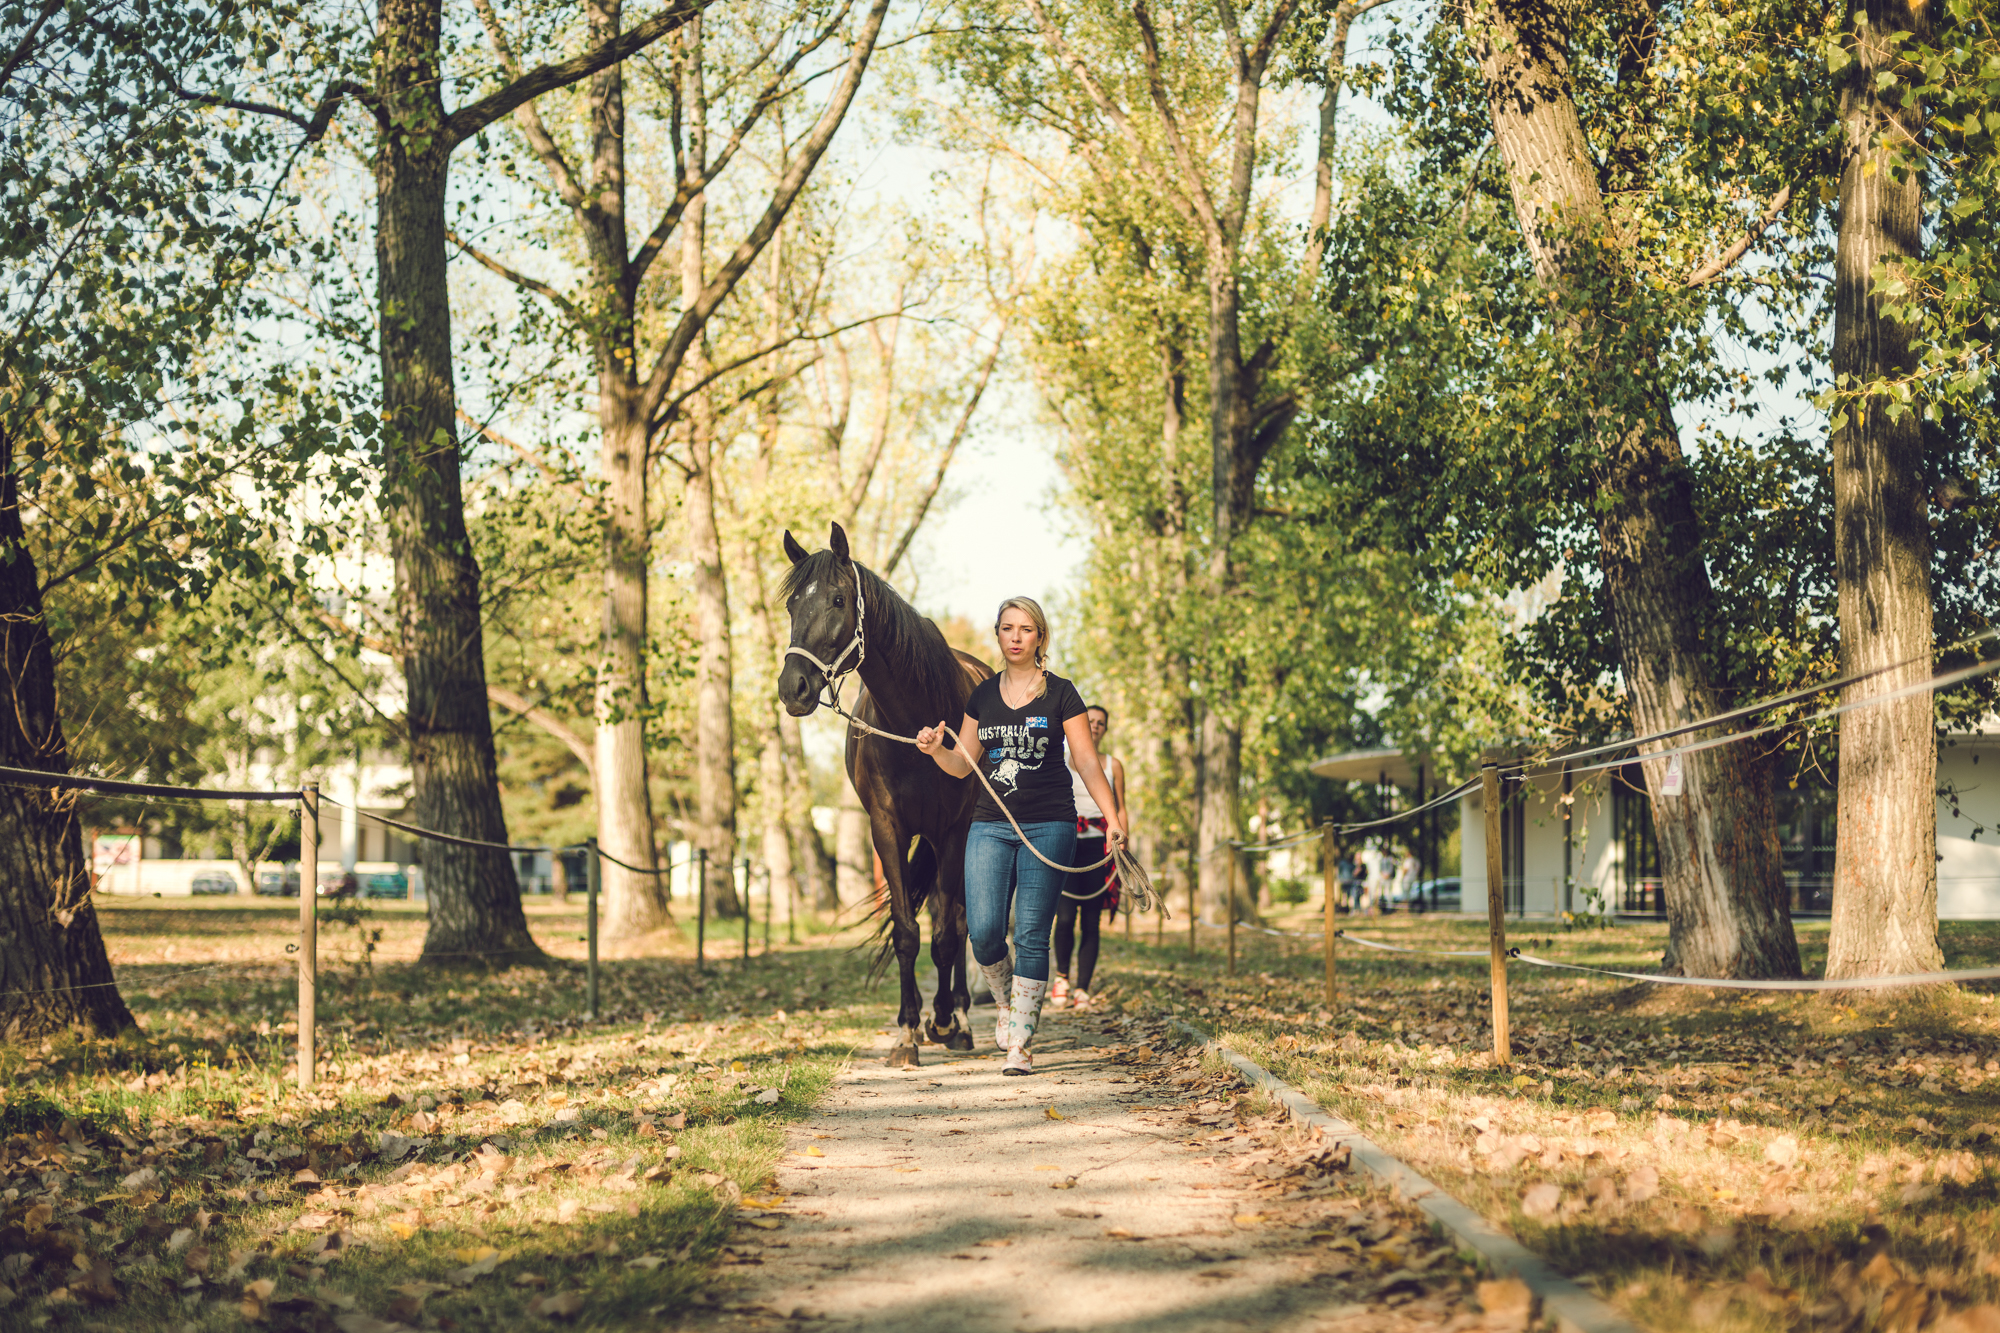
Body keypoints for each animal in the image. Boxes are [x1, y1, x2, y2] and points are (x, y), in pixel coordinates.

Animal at [776, 523, 990, 1067]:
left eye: (837, 599)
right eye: (791, 605)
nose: (794, 688)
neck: (916, 724)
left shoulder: (952, 833)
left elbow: (946, 935)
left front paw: (944, 1020)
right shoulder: (886, 830)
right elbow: (906, 932)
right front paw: (907, 1032)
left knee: (958, 922)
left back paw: (957, 1017)